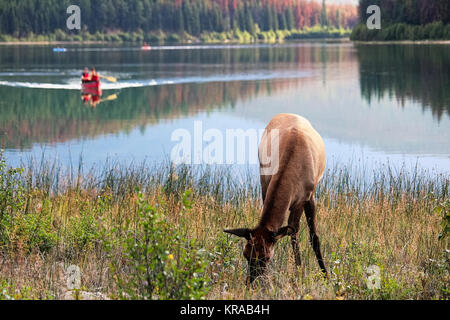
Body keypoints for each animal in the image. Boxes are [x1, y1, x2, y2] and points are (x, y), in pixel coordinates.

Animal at [225, 114, 326, 284]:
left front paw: (321, 275)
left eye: (265, 258)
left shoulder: (306, 197)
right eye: (246, 254)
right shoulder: (265, 183)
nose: (250, 282)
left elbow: (310, 236)